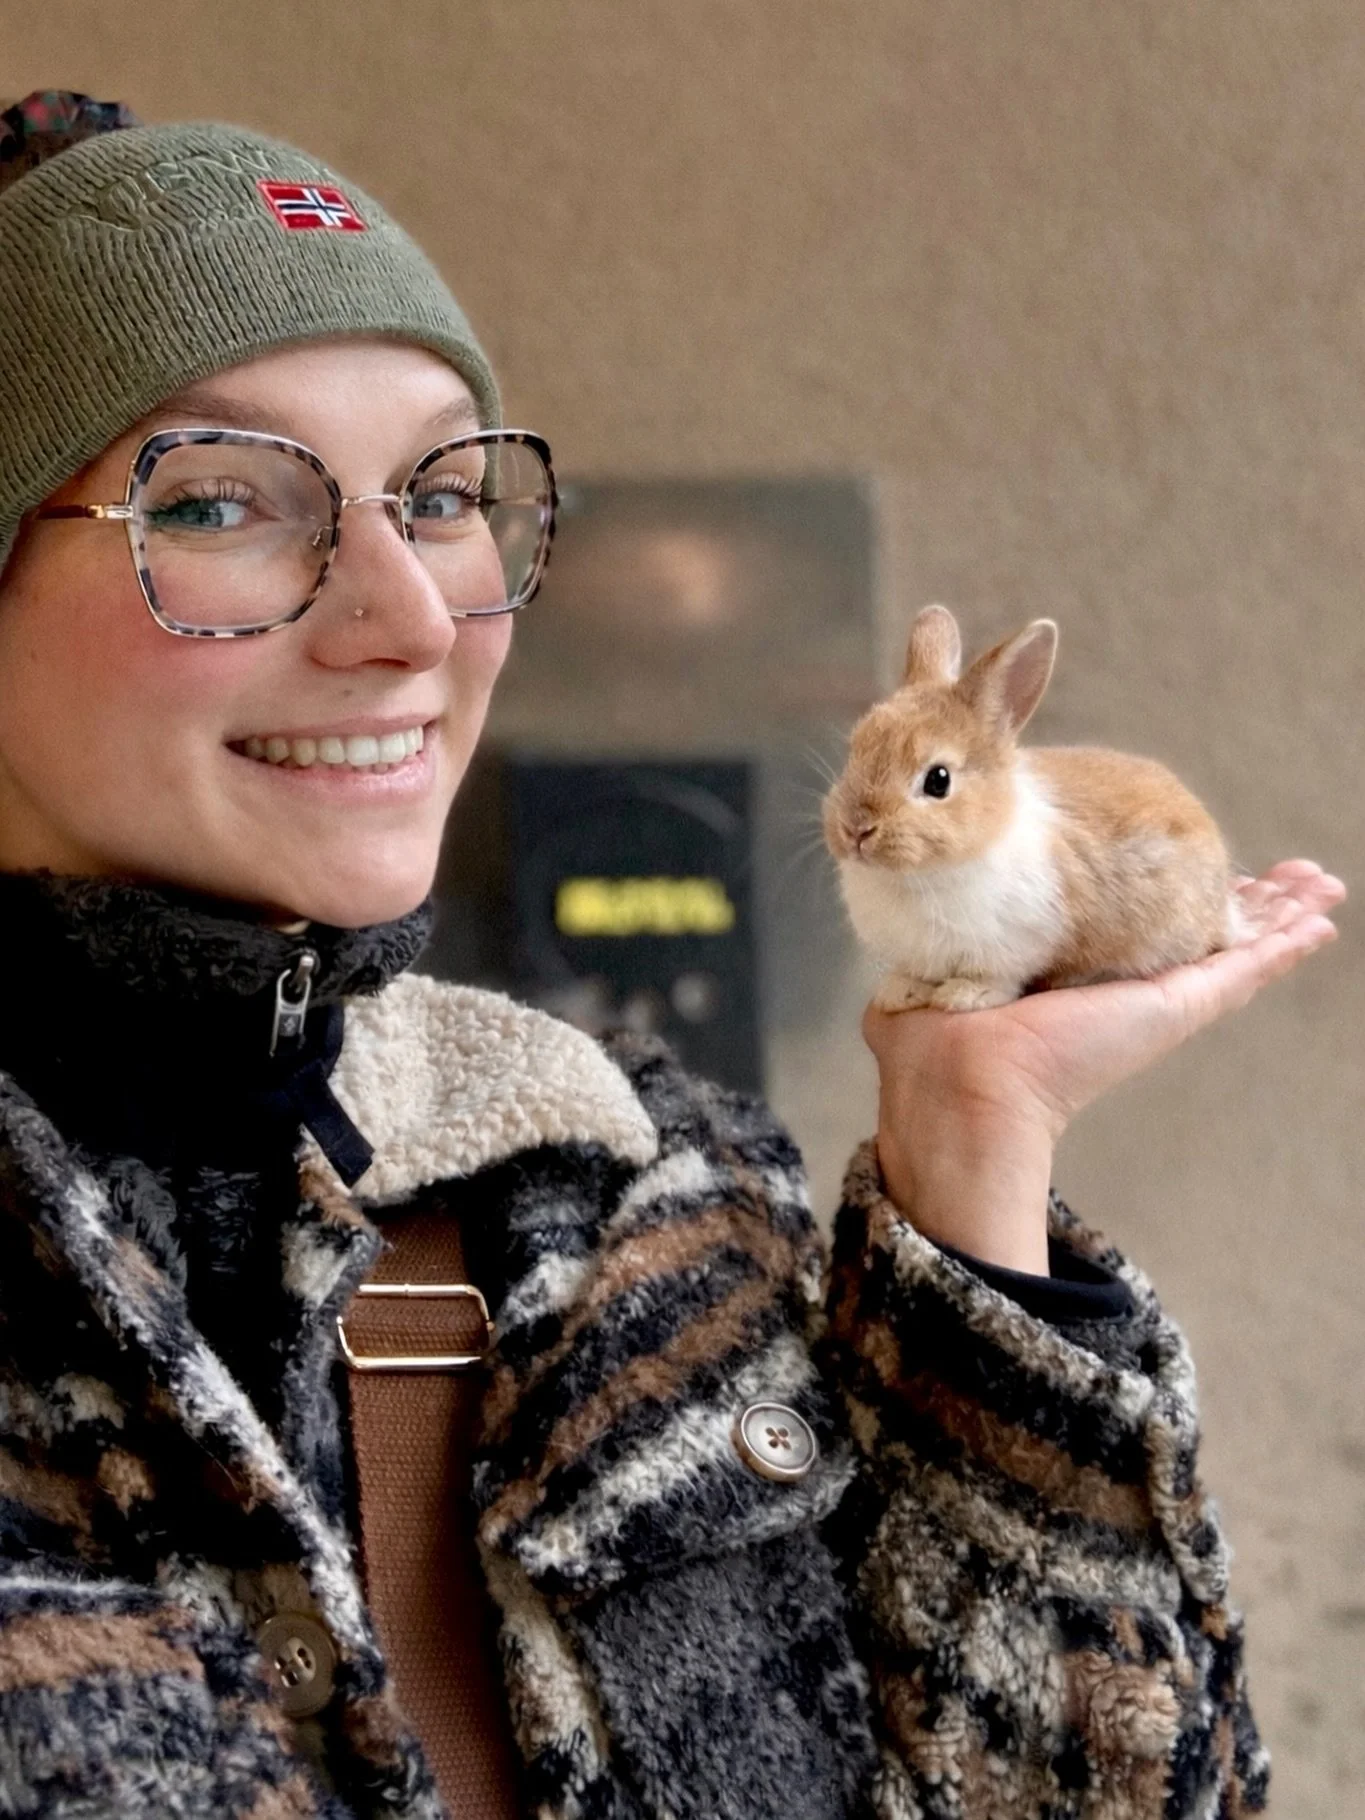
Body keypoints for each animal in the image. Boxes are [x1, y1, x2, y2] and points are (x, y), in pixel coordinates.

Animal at [822, 604, 1250, 1012]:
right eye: (855, 750)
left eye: (938, 780)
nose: (856, 829)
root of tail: (1222, 909)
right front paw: (899, 993)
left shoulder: (1016, 944)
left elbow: (998, 977)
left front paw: (965, 997)